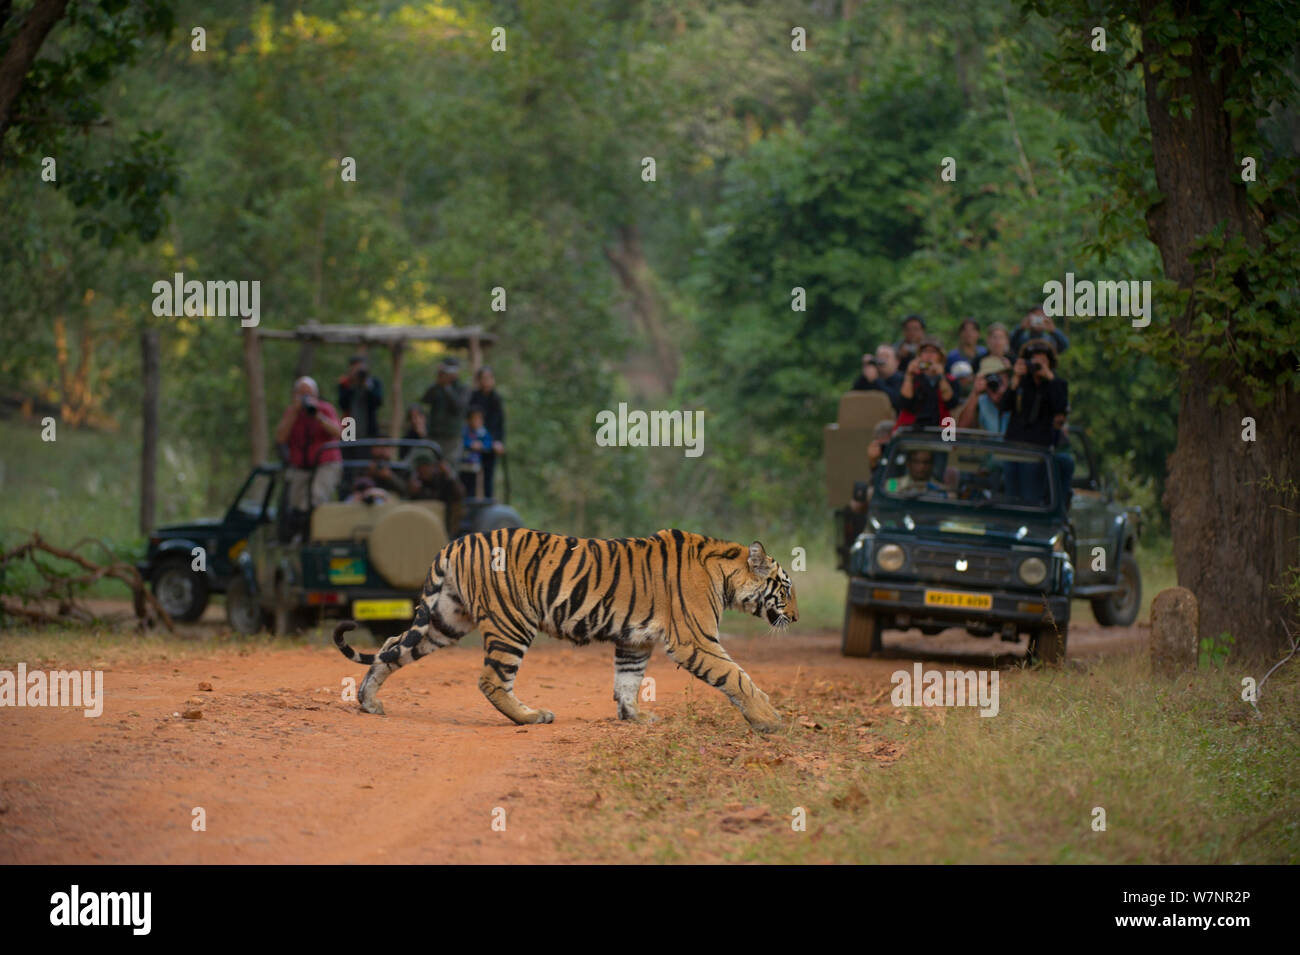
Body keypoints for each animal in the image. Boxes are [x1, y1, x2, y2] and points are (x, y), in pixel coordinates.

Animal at [330, 530, 795, 732]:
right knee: (491, 679)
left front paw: (635, 716)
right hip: (512, 623)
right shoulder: (695, 640)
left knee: (392, 646)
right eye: (786, 588)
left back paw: (369, 702)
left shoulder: (634, 641)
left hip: (445, 620)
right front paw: (770, 720)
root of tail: (455, 542)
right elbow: (737, 676)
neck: (725, 573)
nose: (795, 617)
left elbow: (628, 682)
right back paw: (532, 716)